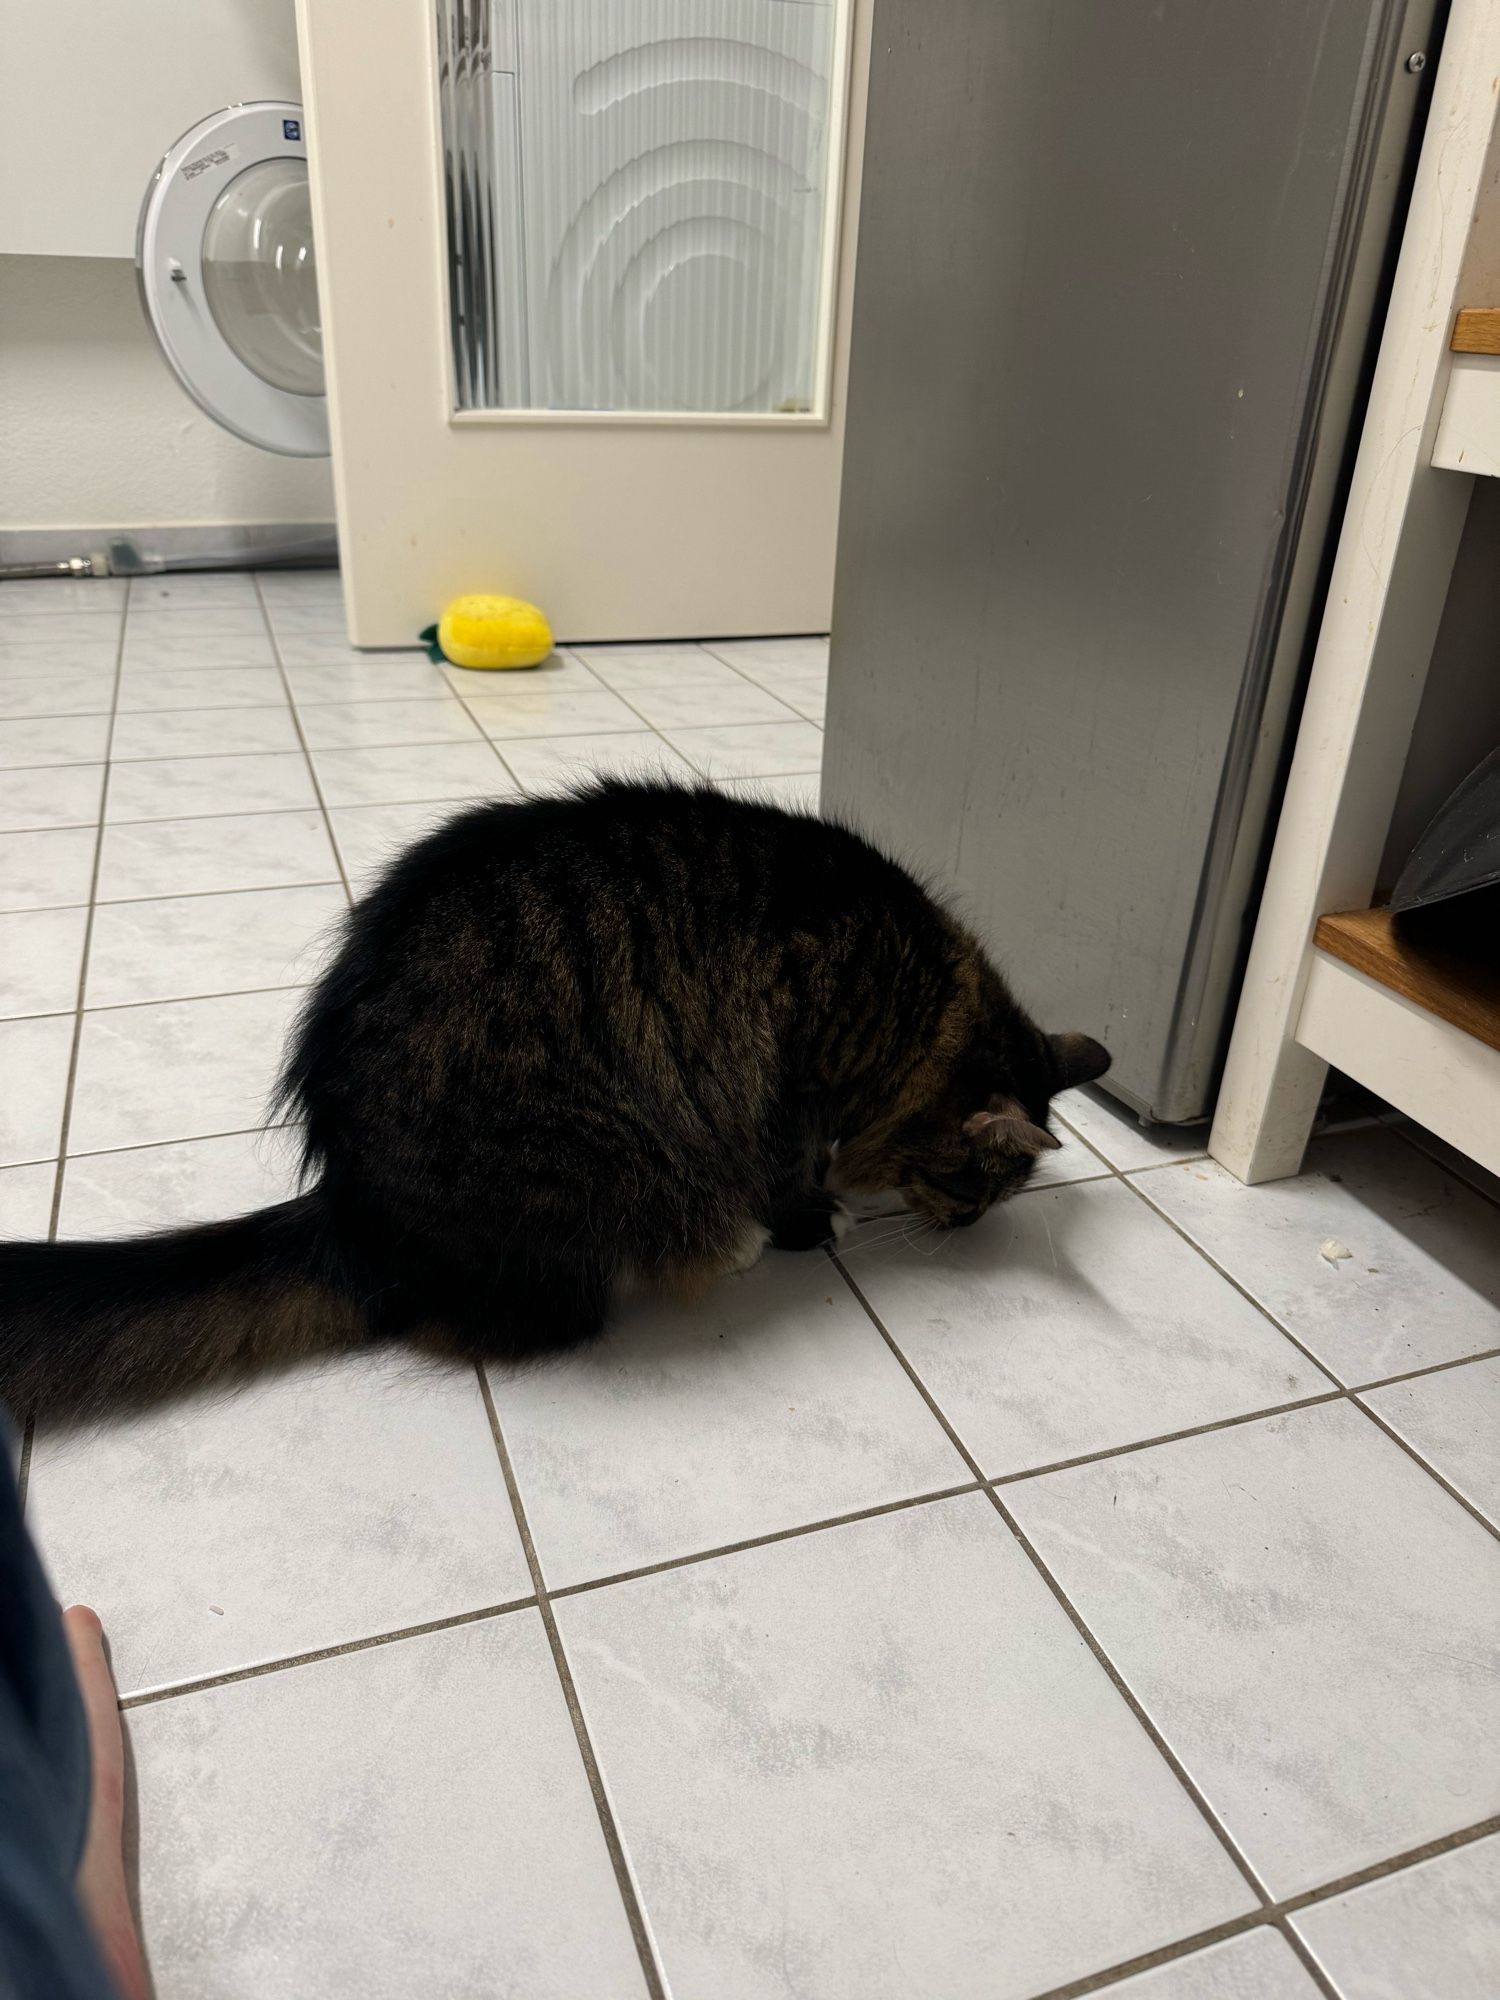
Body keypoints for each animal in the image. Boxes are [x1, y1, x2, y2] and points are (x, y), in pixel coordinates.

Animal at [0, 780, 1104, 1424]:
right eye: (970, 1186)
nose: (967, 1229)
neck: (916, 998)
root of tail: (350, 1215)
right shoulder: (789, 1083)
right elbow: (790, 1172)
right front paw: (806, 1221)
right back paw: (724, 1245)